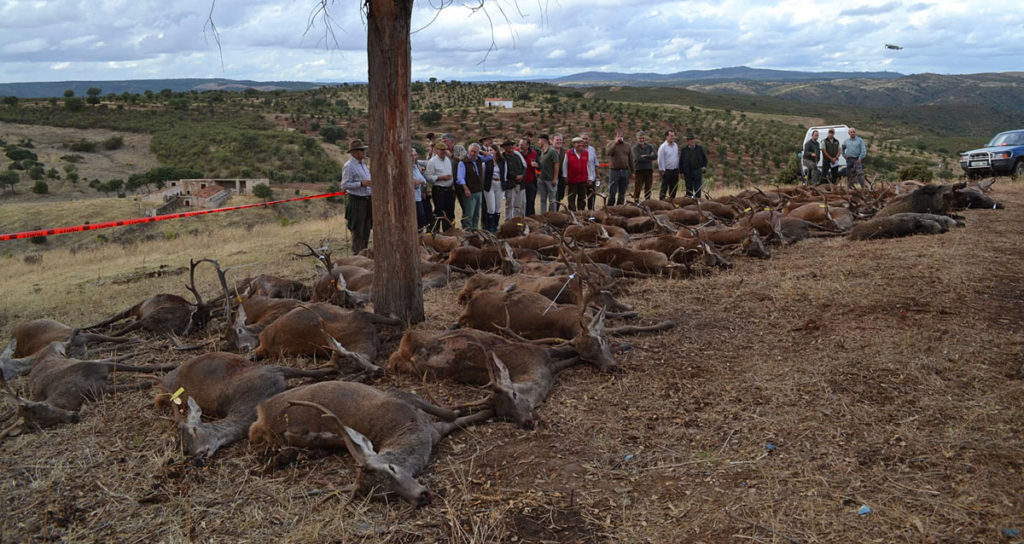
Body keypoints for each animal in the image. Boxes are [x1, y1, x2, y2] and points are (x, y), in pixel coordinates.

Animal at [245, 383, 489, 506]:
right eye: (385, 494)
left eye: (392, 468)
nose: (421, 497)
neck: (409, 428)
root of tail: (261, 415)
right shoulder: (429, 428)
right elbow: (454, 417)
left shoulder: (403, 398)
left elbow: (450, 414)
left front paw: (489, 407)